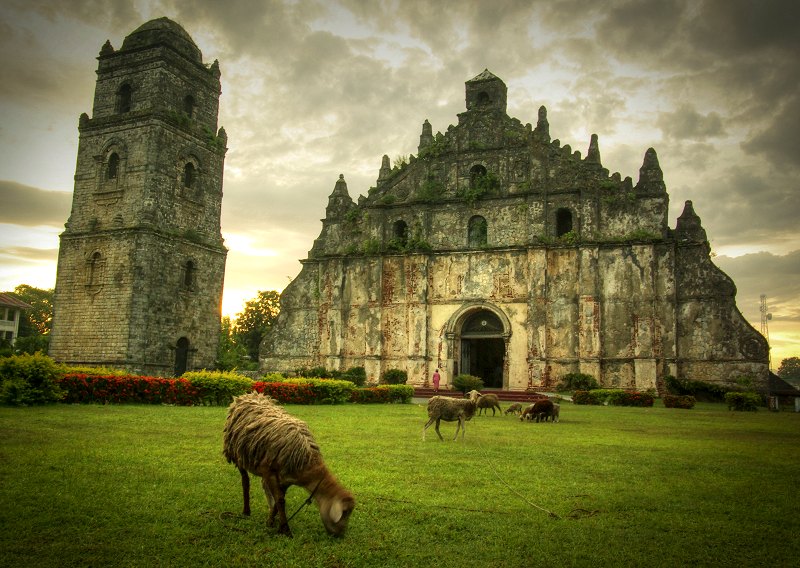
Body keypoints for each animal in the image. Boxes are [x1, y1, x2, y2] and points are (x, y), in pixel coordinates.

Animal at [222, 392, 354, 540]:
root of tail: (247, 396)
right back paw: (246, 511)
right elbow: (280, 501)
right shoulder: (270, 472)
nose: (340, 535)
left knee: (265, 488)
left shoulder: (285, 480)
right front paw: (285, 530)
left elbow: (278, 501)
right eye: (345, 514)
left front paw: (271, 522)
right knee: (245, 482)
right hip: (238, 455)